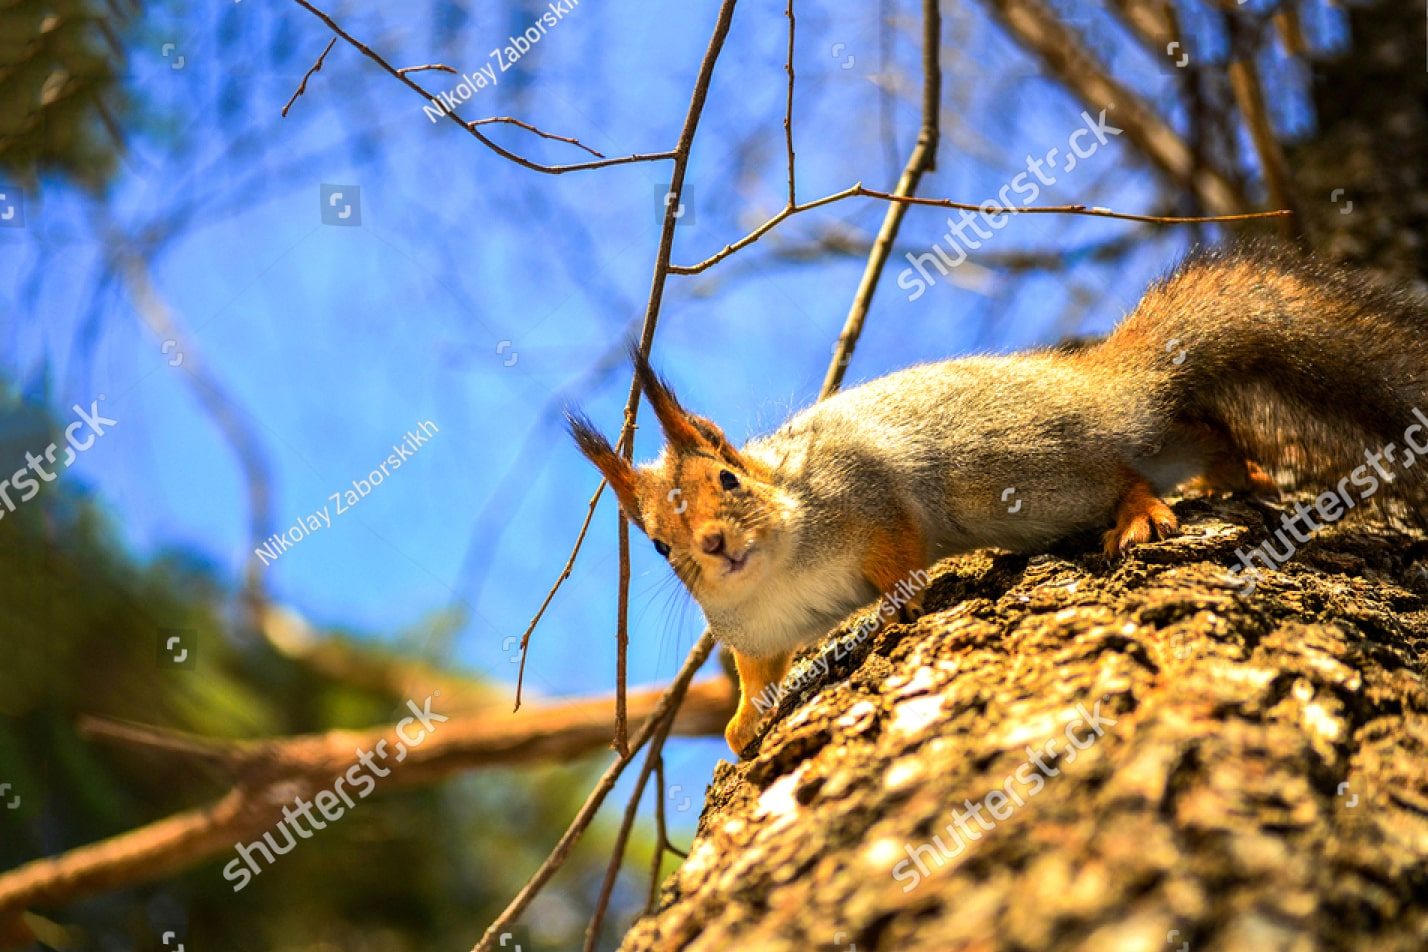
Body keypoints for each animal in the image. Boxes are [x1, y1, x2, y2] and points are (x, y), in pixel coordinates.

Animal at [568, 244, 1428, 756]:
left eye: (728, 481)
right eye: (656, 544)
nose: (713, 548)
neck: (781, 562)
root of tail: (1106, 385)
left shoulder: (869, 501)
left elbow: (899, 557)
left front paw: (899, 605)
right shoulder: (754, 629)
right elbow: (757, 672)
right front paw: (747, 721)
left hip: (1027, 472)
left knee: (1125, 472)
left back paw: (1140, 513)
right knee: (1200, 432)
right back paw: (1230, 475)